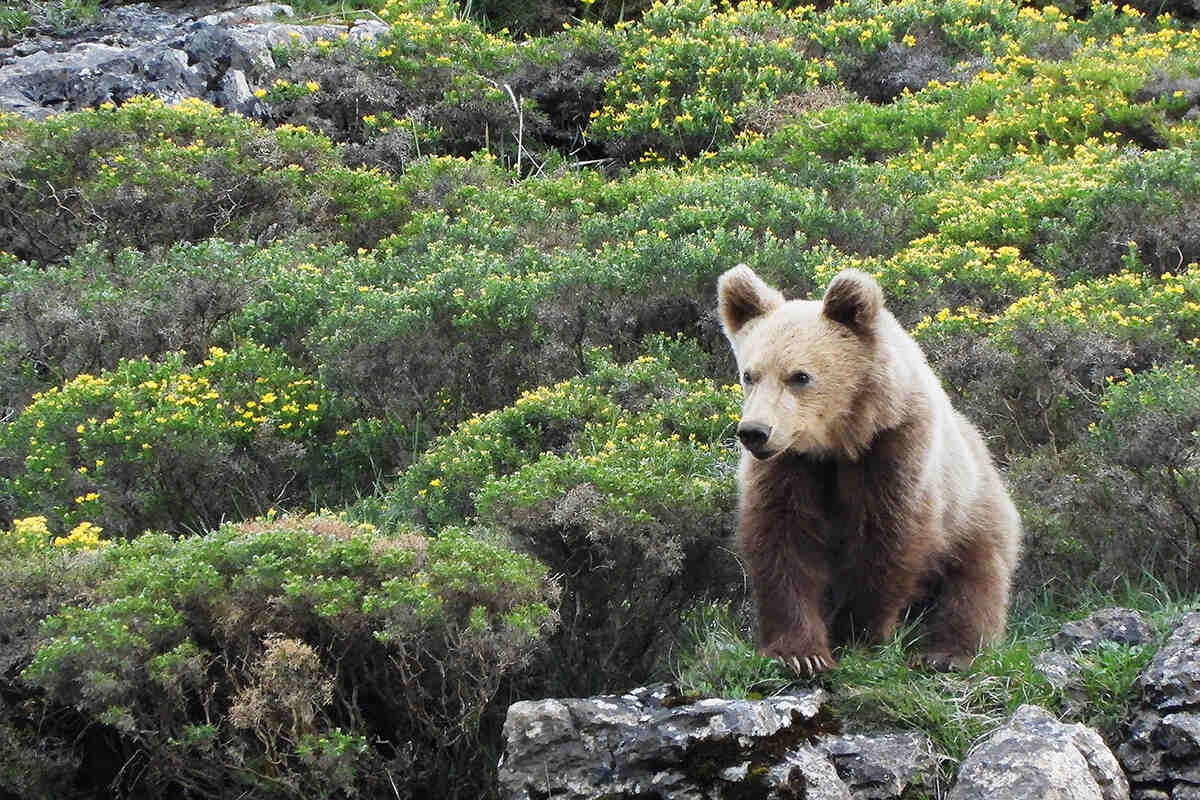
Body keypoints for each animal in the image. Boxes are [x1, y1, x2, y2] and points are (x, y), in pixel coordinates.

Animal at [716, 264, 1022, 674]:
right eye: (749, 374)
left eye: (800, 376)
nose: (755, 432)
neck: (839, 443)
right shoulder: (790, 467)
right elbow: (783, 541)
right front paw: (800, 653)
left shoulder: (894, 451)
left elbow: (886, 541)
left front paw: (857, 634)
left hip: (974, 515)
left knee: (974, 584)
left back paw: (948, 653)